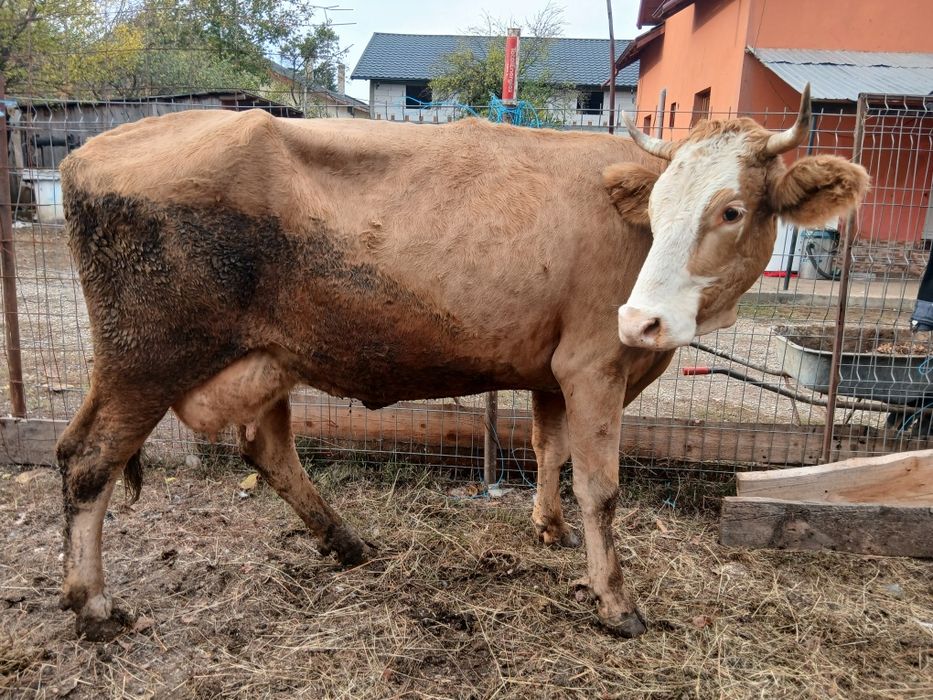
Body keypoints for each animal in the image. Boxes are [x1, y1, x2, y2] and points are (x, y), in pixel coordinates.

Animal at [55, 85, 868, 641]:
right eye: (659, 206)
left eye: (731, 209)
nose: (643, 319)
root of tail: (92, 149)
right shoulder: (595, 363)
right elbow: (601, 486)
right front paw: (616, 601)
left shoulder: (554, 369)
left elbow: (548, 449)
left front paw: (548, 529)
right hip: (146, 357)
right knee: (87, 461)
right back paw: (92, 605)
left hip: (262, 357)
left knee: (267, 450)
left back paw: (345, 542)